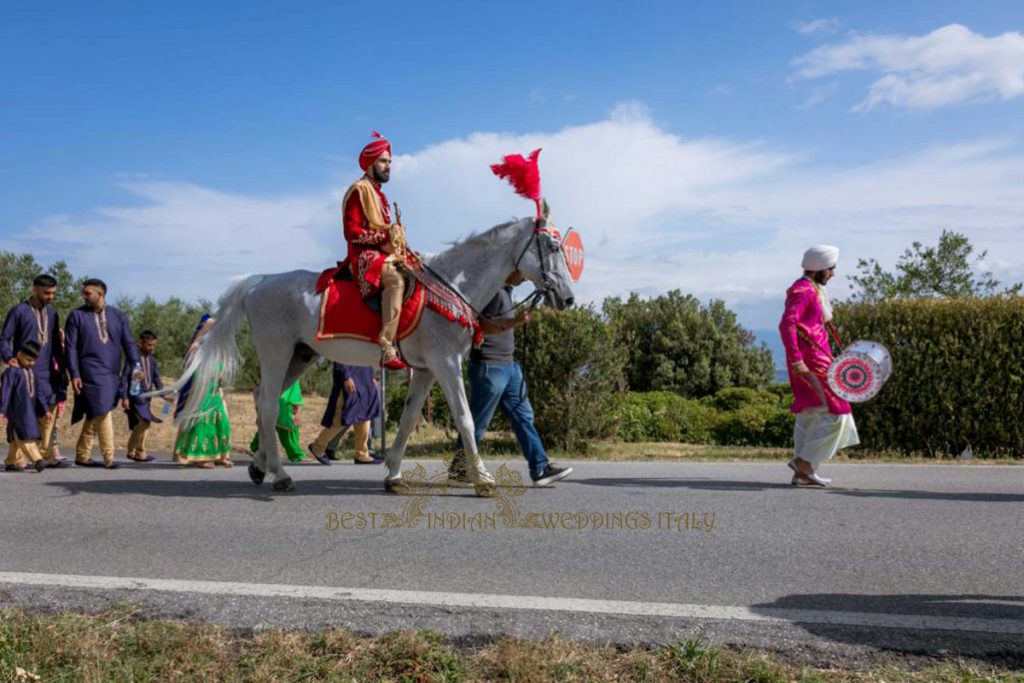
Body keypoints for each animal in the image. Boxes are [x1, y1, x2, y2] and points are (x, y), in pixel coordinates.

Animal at [165, 216, 577, 493]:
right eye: (552, 247)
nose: (569, 298)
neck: (452, 286)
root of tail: (258, 282)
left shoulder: (425, 371)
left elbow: (409, 420)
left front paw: (393, 473)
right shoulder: (446, 364)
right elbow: (465, 418)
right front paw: (484, 479)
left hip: (299, 356)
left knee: (262, 399)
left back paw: (260, 466)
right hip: (276, 352)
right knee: (267, 404)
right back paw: (281, 475)